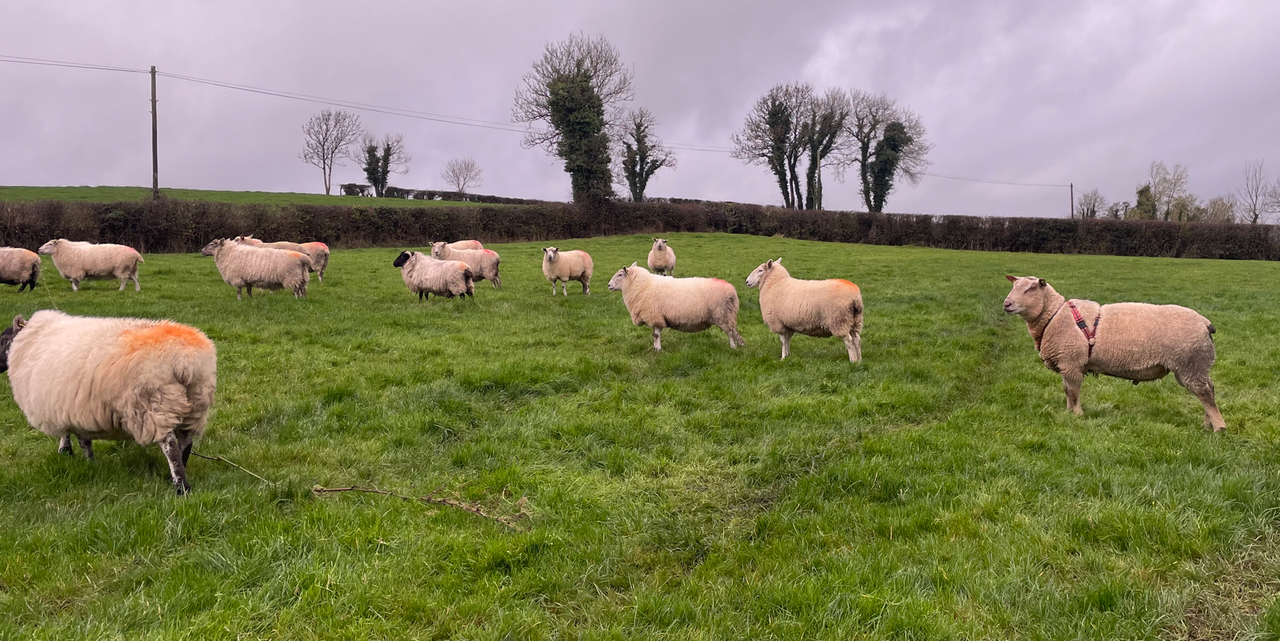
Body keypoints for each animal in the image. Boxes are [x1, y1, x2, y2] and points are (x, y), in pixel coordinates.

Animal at [0, 310, 217, 494]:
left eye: (2, 339)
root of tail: (186, 362)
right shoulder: (69, 406)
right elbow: (75, 435)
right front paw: (72, 454)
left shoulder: (69, 408)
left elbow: (81, 439)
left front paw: (83, 459)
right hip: (195, 404)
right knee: (186, 441)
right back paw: (177, 472)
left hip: (152, 406)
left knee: (170, 446)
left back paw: (181, 486)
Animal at [607, 263, 745, 351]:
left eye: (620, 275)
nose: (608, 285)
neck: (642, 286)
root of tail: (732, 291)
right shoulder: (656, 317)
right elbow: (654, 335)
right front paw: (656, 348)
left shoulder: (655, 317)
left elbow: (656, 335)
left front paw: (657, 349)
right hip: (728, 316)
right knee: (733, 331)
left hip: (722, 315)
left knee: (730, 333)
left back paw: (732, 347)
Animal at [1003, 275, 1225, 432]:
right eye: (1014, 286)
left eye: (1030, 289)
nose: (1007, 304)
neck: (1054, 315)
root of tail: (1206, 324)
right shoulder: (1066, 363)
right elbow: (1067, 391)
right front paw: (1067, 413)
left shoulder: (1072, 362)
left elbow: (1074, 392)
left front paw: (1078, 415)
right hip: (1192, 367)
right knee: (1209, 391)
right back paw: (1207, 425)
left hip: (1191, 364)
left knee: (1205, 394)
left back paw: (1219, 428)